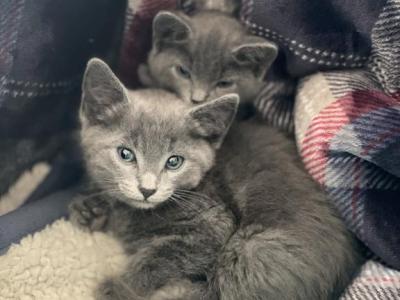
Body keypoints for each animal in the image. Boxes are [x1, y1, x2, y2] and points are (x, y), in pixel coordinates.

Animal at [69, 59, 362, 300]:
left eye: (174, 162)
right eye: (125, 154)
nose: (147, 189)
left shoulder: (213, 226)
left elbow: (161, 257)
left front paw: (118, 288)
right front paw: (89, 209)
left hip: (252, 249)